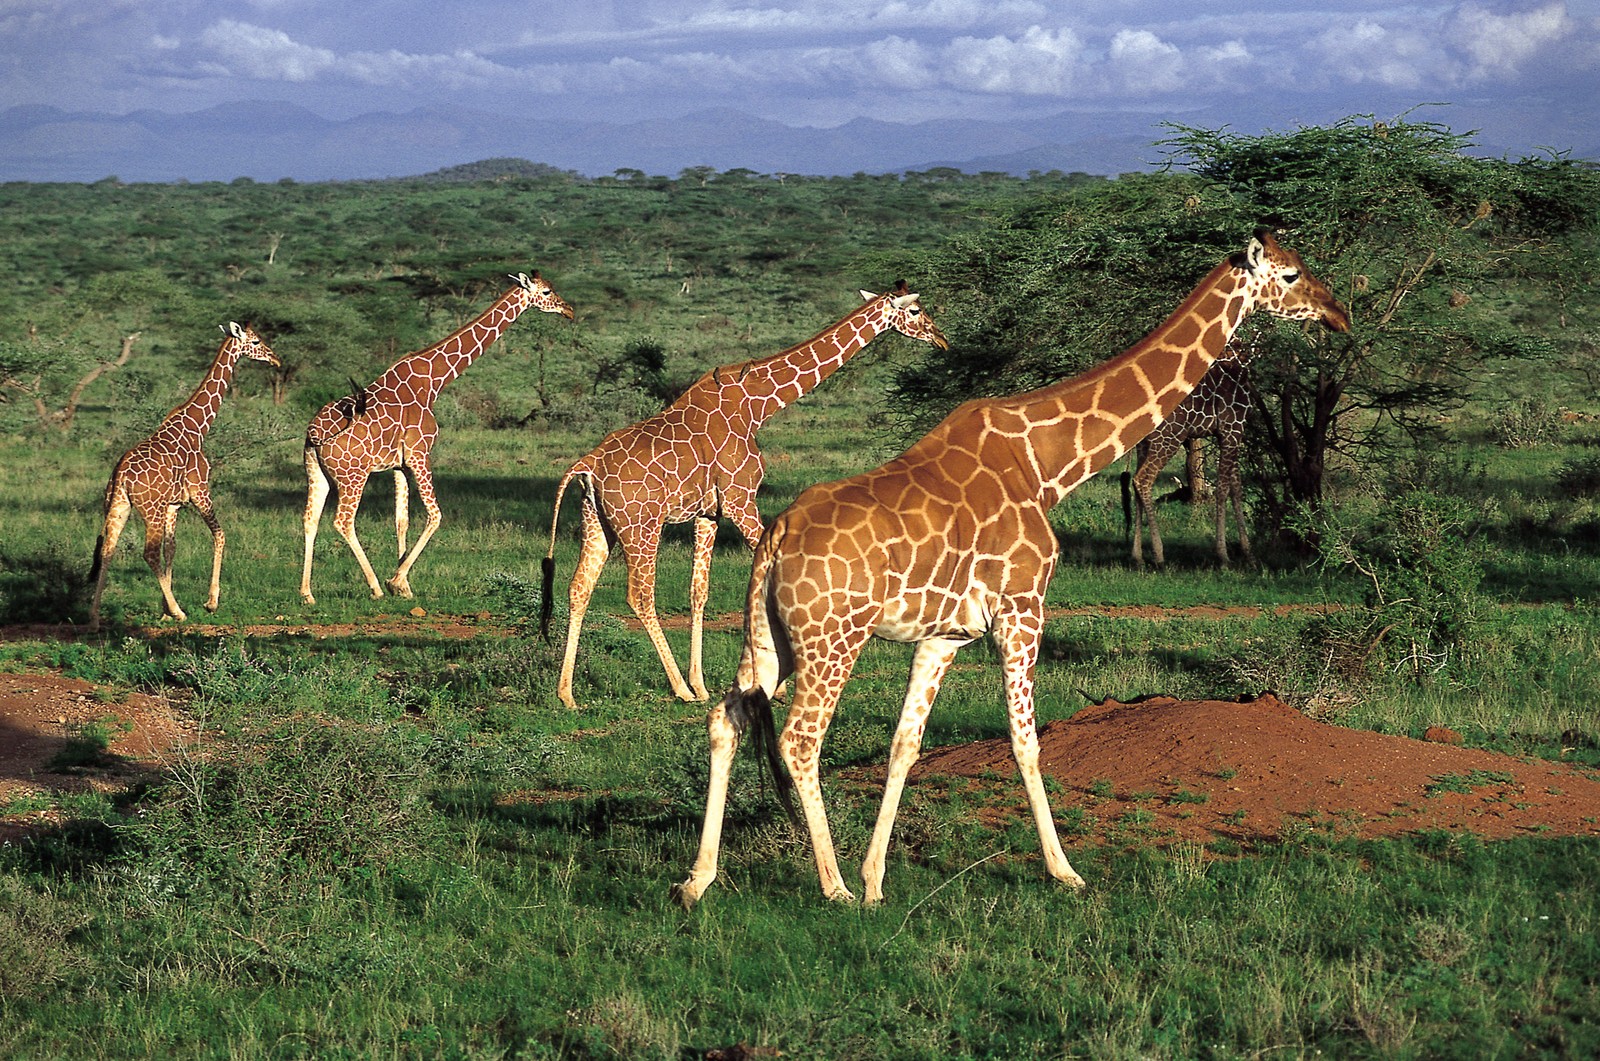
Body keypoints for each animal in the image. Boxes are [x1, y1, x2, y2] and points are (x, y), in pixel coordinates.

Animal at [89, 321, 281, 630]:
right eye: (256, 341)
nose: (276, 359)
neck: (198, 426)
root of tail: (121, 475)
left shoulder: (174, 504)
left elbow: (172, 548)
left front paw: (165, 609)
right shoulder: (200, 492)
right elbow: (220, 535)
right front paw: (208, 602)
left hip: (119, 505)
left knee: (108, 549)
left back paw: (94, 617)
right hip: (150, 509)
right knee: (148, 553)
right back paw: (181, 612)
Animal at [300, 272, 576, 604]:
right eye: (546, 291)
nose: (569, 310)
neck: (433, 381)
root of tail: (314, 433)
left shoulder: (399, 464)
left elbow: (401, 519)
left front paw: (403, 582)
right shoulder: (421, 453)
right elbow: (435, 515)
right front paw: (396, 582)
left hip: (317, 471)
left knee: (310, 519)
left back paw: (306, 593)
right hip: (353, 475)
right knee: (342, 521)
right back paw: (374, 587)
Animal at [550, 286, 947, 710]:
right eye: (916, 310)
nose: (942, 339)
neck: (758, 405)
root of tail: (586, 466)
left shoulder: (709, 512)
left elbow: (699, 592)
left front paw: (704, 683)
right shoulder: (741, 498)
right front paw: (776, 685)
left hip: (598, 521)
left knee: (578, 588)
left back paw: (567, 693)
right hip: (641, 525)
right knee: (639, 596)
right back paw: (679, 688)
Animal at [1126, 344, 1260, 569]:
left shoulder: (1230, 434)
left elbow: (1236, 489)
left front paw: (1248, 554)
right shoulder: (1231, 429)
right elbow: (1222, 489)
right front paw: (1223, 555)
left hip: (1143, 444)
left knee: (1136, 485)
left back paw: (1138, 557)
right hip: (1170, 437)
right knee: (1143, 480)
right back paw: (1159, 555)